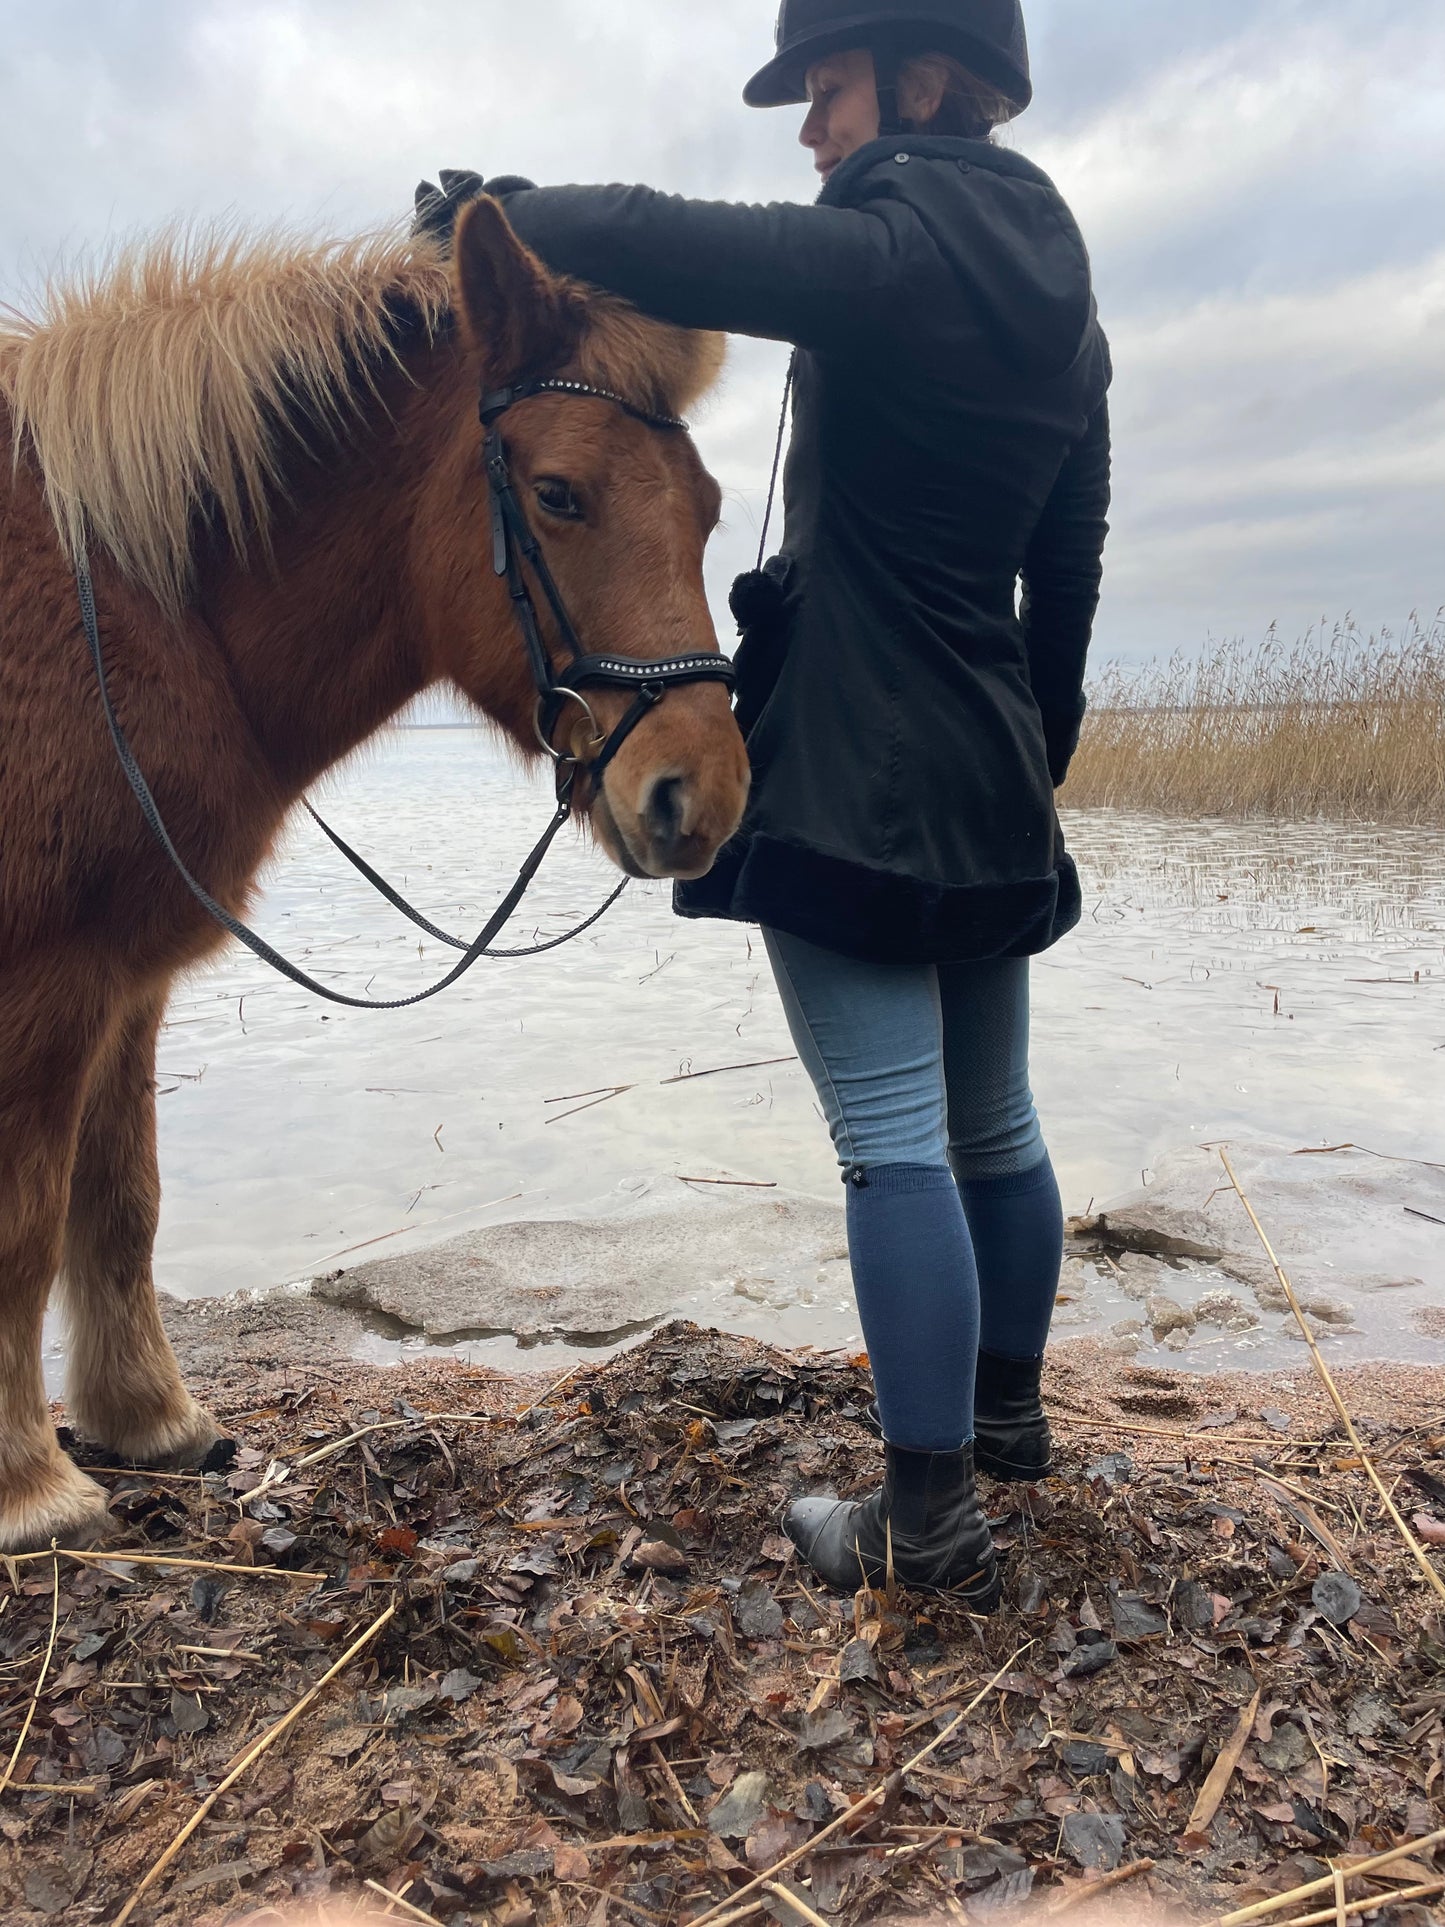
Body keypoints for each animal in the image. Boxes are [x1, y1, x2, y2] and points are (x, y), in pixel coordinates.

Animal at [0, 199, 747, 1549]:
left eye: (710, 507)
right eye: (557, 494)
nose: (698, 795)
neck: (128, 602)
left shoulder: (118, 986)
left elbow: (120, 1204)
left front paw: (149, 1422)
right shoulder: (45, 987)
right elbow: (24, 1227)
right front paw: (30, 1488)